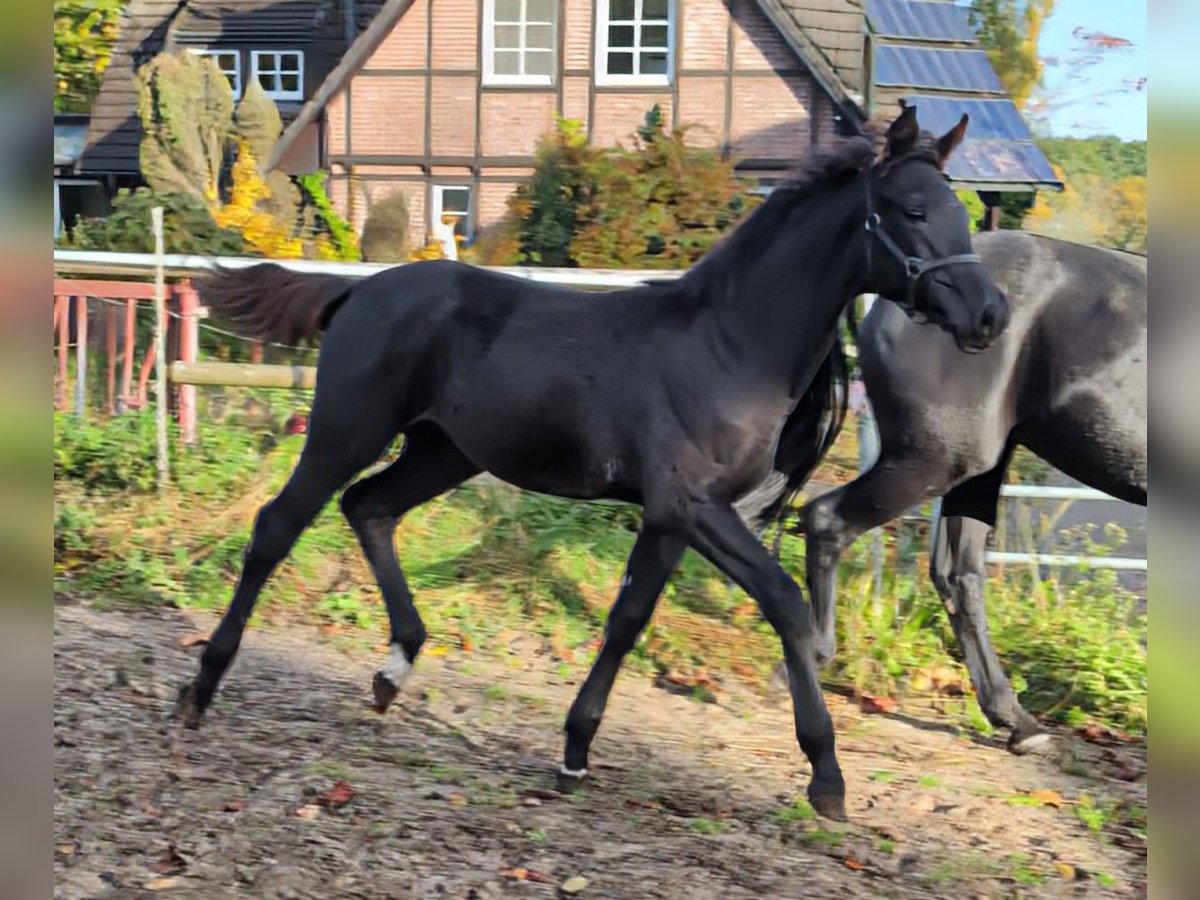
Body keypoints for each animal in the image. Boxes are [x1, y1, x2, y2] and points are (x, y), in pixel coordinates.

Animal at [175, 107, 1003, 825]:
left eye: (963, 214)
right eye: (912, 209)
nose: (990, 314)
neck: (727, 345)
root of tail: (358, 289)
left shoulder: (668, 518)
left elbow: (628, 618)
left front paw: (575, 747)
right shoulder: (695, 506)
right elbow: (785, 602)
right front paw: (826, 777)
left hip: (445, 452)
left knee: (369, 507)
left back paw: (393, 669)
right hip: (347, 429)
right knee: (279, 526)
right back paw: (201, 688)